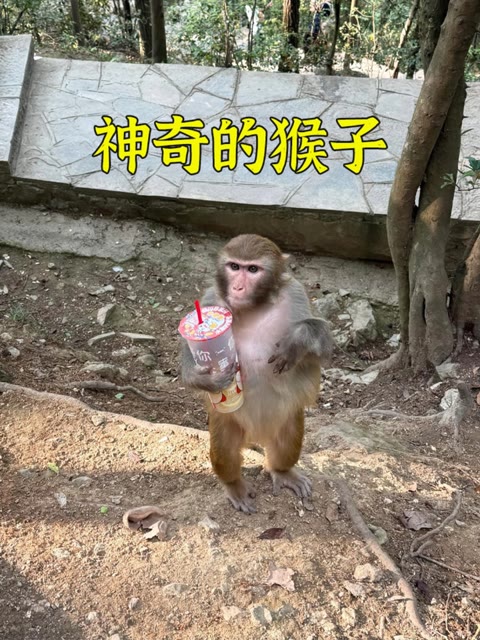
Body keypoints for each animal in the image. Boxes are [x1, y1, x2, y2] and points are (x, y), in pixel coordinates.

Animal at [181, 234, 334, 514]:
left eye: (252, 269)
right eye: (234, 267)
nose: (238, 288)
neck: (253, 308)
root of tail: (258, 434)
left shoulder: (296, 294)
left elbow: (324, 348)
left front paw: (296, 340)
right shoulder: (210, 299)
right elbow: (188, 349)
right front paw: (205, 378)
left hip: (287, 418)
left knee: (287, 442)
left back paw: (283, 471)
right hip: (227, 421)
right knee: (225, 451)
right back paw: (233, 484)